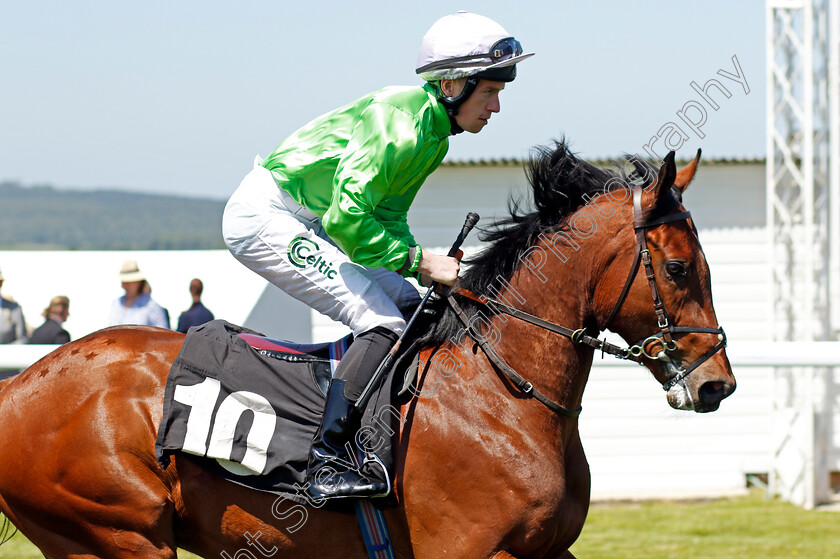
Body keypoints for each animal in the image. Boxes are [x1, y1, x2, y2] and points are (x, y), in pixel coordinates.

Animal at [0, 142, 736, 556]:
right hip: (117, 531)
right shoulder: (469, 550)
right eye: (677, 268)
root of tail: (20, 384)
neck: (500, 394)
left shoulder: (546, 552)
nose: (716, 384)